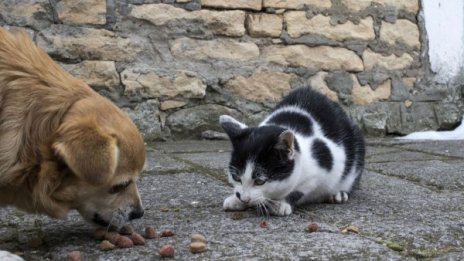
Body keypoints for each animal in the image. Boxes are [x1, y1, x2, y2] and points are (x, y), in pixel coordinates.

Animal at [221, 86, 366, 214]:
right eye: (236, 177)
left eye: (260, 181)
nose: (245, 198)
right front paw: (236, 200)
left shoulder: (323, 168)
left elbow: (299, 190)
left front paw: (280, 204)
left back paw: (339, 194)